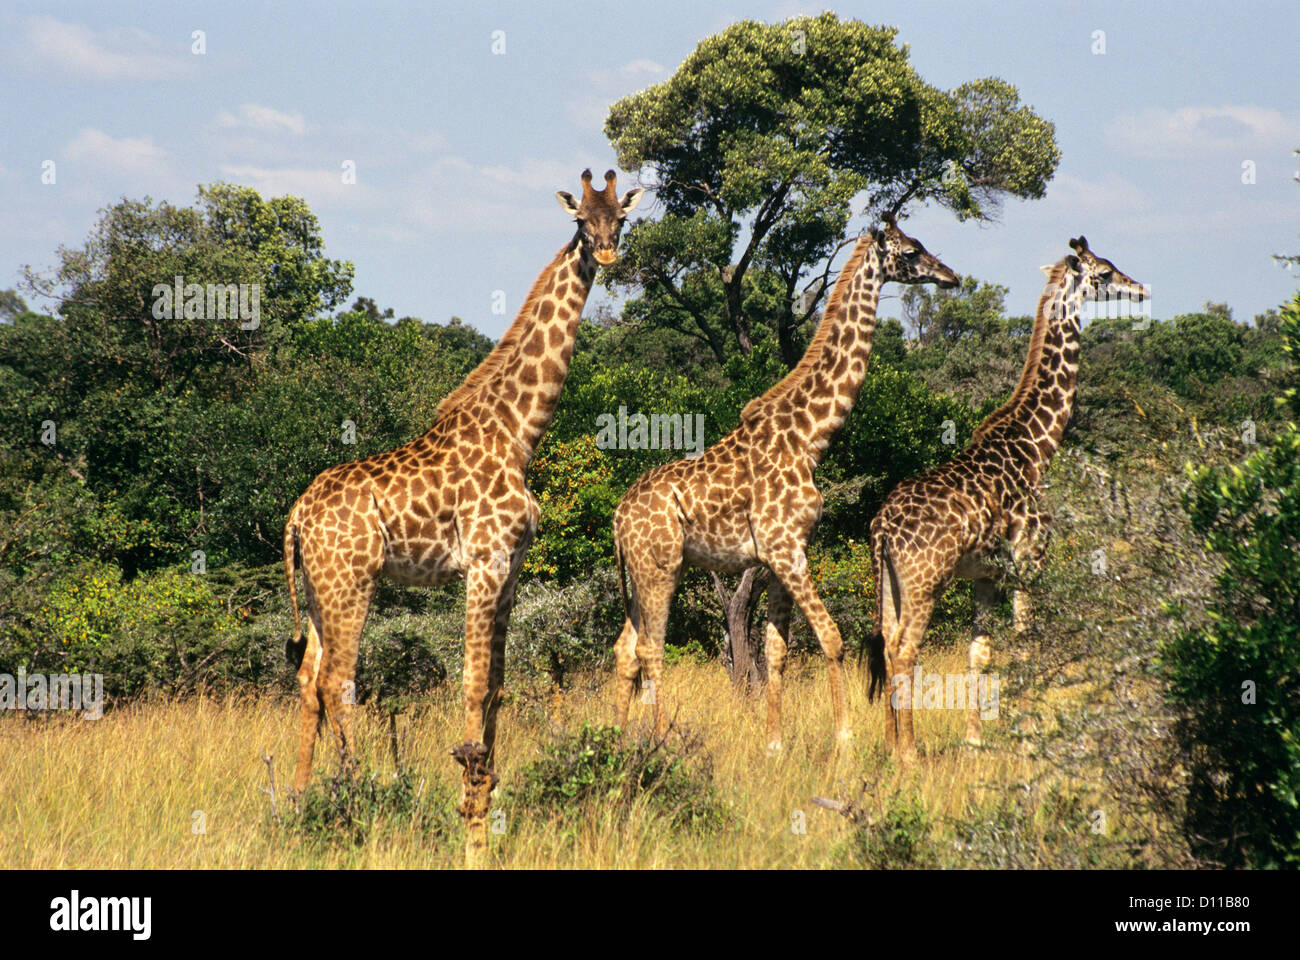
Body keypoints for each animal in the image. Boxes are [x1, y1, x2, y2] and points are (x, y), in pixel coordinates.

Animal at [288, 167, 644, 863]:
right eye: (579, 222)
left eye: (621, 218)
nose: (608, 254)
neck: (519, 430)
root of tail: (295, 515)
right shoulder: (483, 561)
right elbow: (474, 684)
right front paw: (471, 820)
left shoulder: (511, 567)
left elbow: (500, 686)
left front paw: (488, 799)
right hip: (351, 582)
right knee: (338, 682)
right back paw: (357, 799)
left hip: (318, 590)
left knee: (307, 682)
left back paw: (297, 803)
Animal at [608, 217, 956, 749]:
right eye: (912, 251)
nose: (950, 276)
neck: (811, 439)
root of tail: (617, 516)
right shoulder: (787, 548)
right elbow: (832, 637)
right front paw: (844, 738)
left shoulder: (778, 556)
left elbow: (776, 649)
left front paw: (773, 743)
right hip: (659, 568)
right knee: (651, 648)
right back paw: (659, 737)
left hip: (646, 572)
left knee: (626, 649)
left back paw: (616, 737)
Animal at [868, 235, 1144, 759]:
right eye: (1104, 273)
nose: (1139, 289)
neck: (1037, 445)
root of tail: (882, 528)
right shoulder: (1030, 559)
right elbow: (1027, 642)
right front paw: (1030, 735)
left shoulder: (986, 576)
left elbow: (980, 651)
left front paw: (975, 739)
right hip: (925, 579)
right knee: (905, 649)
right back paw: (909, 753)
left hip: (890, 582)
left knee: (888, 643)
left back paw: (892, 745)